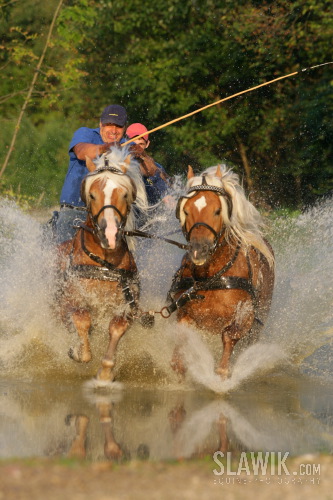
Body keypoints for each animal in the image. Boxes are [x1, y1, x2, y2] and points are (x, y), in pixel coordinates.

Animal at [56, 146, 147, 382]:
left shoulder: (127, 307)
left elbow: (116, 329)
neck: (105, 265)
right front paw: (79, 352)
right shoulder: (71, 302)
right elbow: (82, 320)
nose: (110, 235)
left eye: (124, 194)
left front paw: (106, 371)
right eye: (92, 194)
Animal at [167, 164, 274, 378]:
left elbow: (230, 336)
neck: (210, 276)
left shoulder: (246, 315)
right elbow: (182, 336)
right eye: (186, 210)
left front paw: (222, 372)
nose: (199, 249)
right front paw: (179, 365)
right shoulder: (185, 311)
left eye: (218, 211)